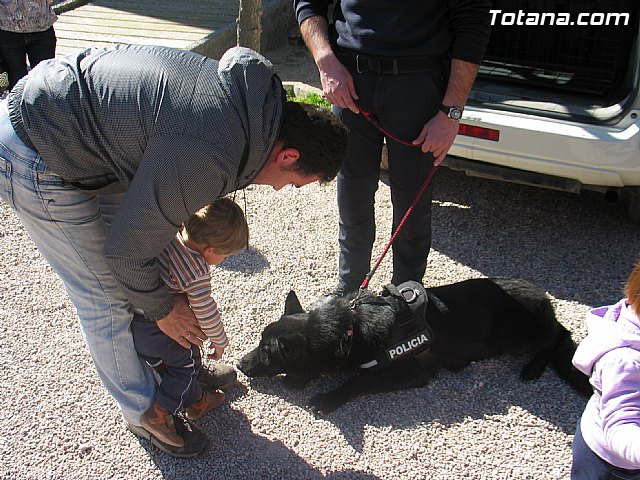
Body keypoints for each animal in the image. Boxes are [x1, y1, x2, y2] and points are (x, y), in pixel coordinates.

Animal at [238, 278, 592, 415]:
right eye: (259, 343)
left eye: (267, 353)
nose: (240, 364)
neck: (348, 330)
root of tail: (542, 294)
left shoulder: (409, 373)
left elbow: (360, 379)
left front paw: (328, 398)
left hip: (518, 338)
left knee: (562, 335)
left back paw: (536, 366)